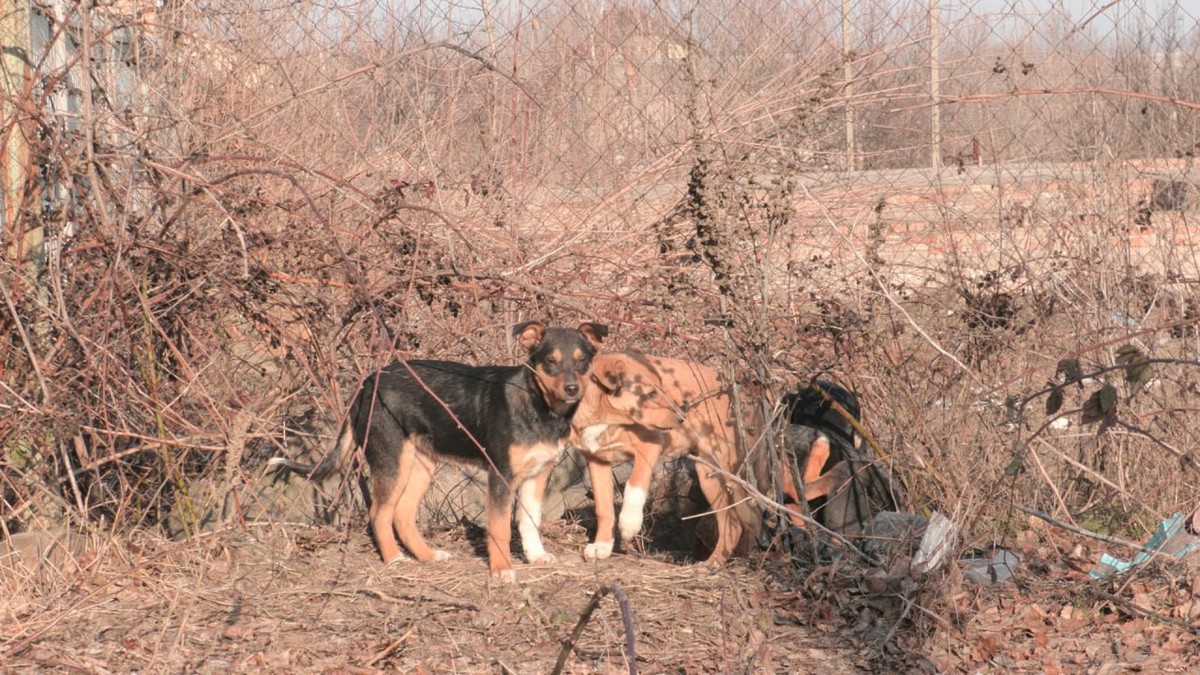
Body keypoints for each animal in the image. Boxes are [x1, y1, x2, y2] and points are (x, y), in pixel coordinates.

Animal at [274, 319, 604, 578]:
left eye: (582, 360)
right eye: (550, 361)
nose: (572, 389)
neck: (540, 406)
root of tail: (367, 382)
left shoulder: (538, 475)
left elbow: (529, 522)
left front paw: (536, 556)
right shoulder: (501, 476)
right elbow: (499, 527)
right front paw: (501, 569)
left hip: (421, 463)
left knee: (402, 514)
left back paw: (427, 556)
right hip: (391, 459)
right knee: (380, 513)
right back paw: (395, 559)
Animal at [566, 348, 753, 564]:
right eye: (651, 393)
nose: (682, 417)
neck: (604, 417)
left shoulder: (649, 446)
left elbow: (634, 484)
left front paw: (629, 525)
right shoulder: (597, 460)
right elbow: (604, 508)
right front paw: (602, 546)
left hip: (721, 468)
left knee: (736, 521)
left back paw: (711, 564)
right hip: (708, 473)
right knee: (732, 524)